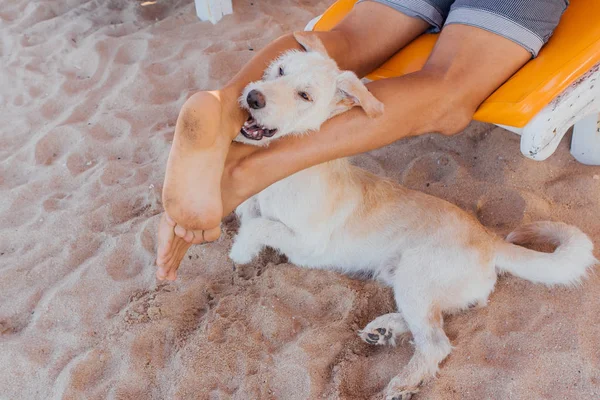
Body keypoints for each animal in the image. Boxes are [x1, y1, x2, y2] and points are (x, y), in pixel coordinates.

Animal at [229, 32, 596, 400]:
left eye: (304, 95)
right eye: (279, 70)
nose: (253, 97)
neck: (284, 175)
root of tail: (490, 240)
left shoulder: (308, 242)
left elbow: (260, 226)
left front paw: (240, 252)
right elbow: (248, 214)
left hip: (415, 276)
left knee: (436, 342)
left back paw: (404, 381)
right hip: (406, 280)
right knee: (433, 321)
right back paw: (384, 330)